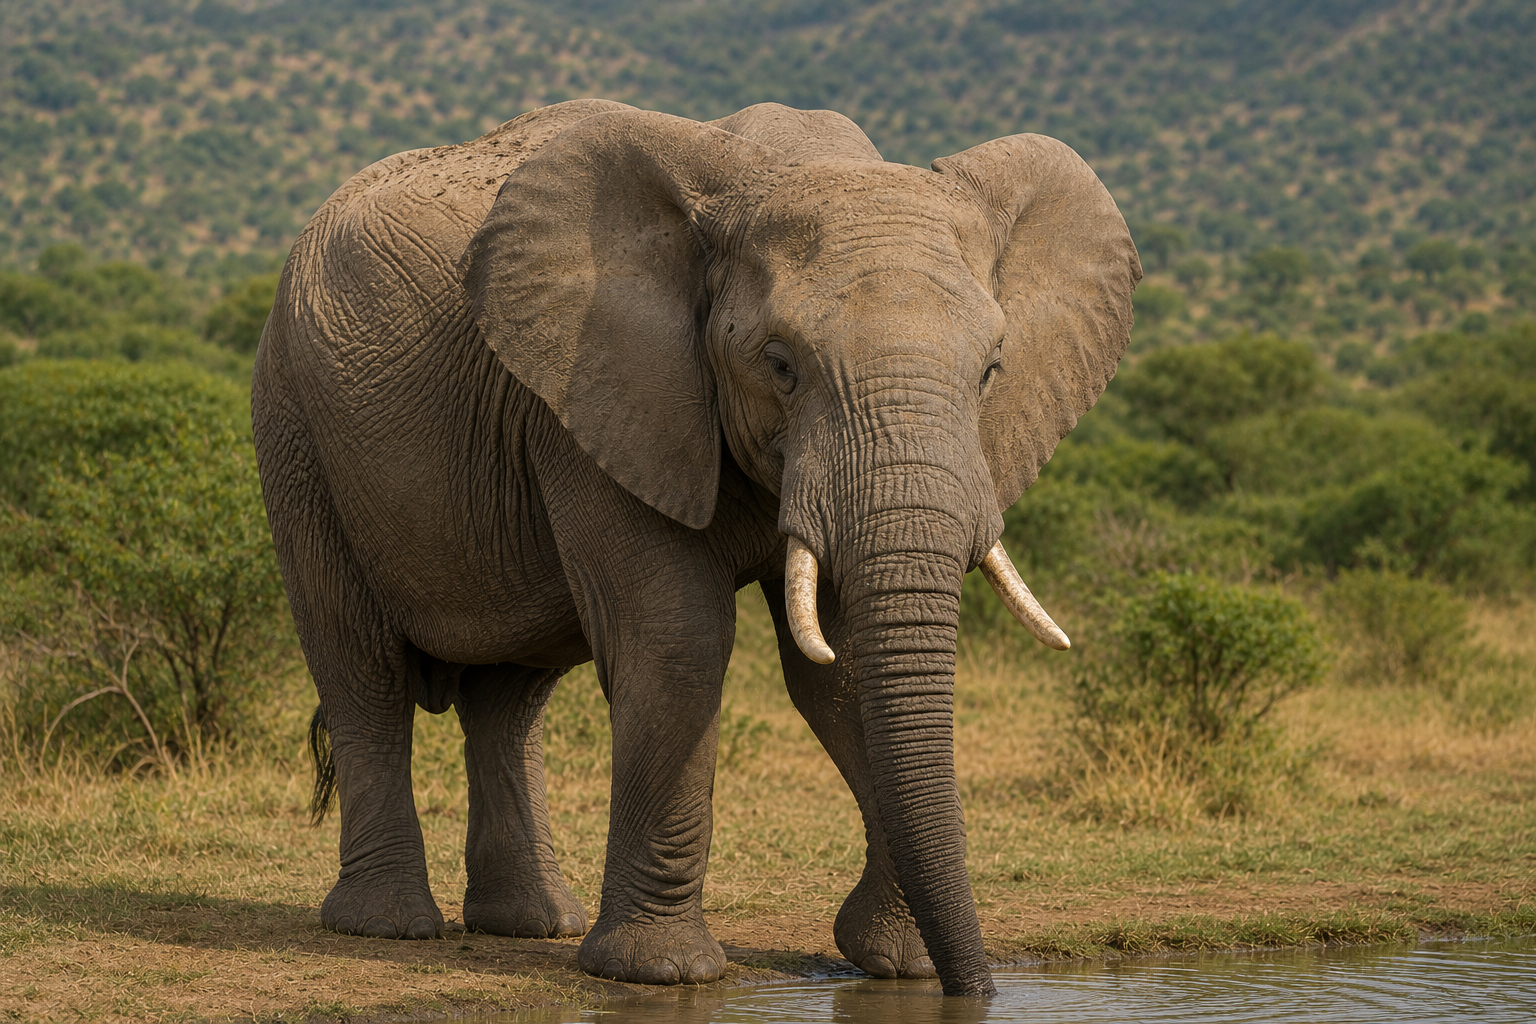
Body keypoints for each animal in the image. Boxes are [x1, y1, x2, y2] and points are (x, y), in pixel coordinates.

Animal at [251, 98, 1139, 997]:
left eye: (992, 369)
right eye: (779, 364)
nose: (980, 994)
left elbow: (846, 666)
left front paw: (903, 966)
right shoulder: (601, 389)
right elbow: (679, 641)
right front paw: (662, 974)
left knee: (510, 697)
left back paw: (534, 923)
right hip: (294, 428)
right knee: (362, 670)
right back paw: (389, 925)